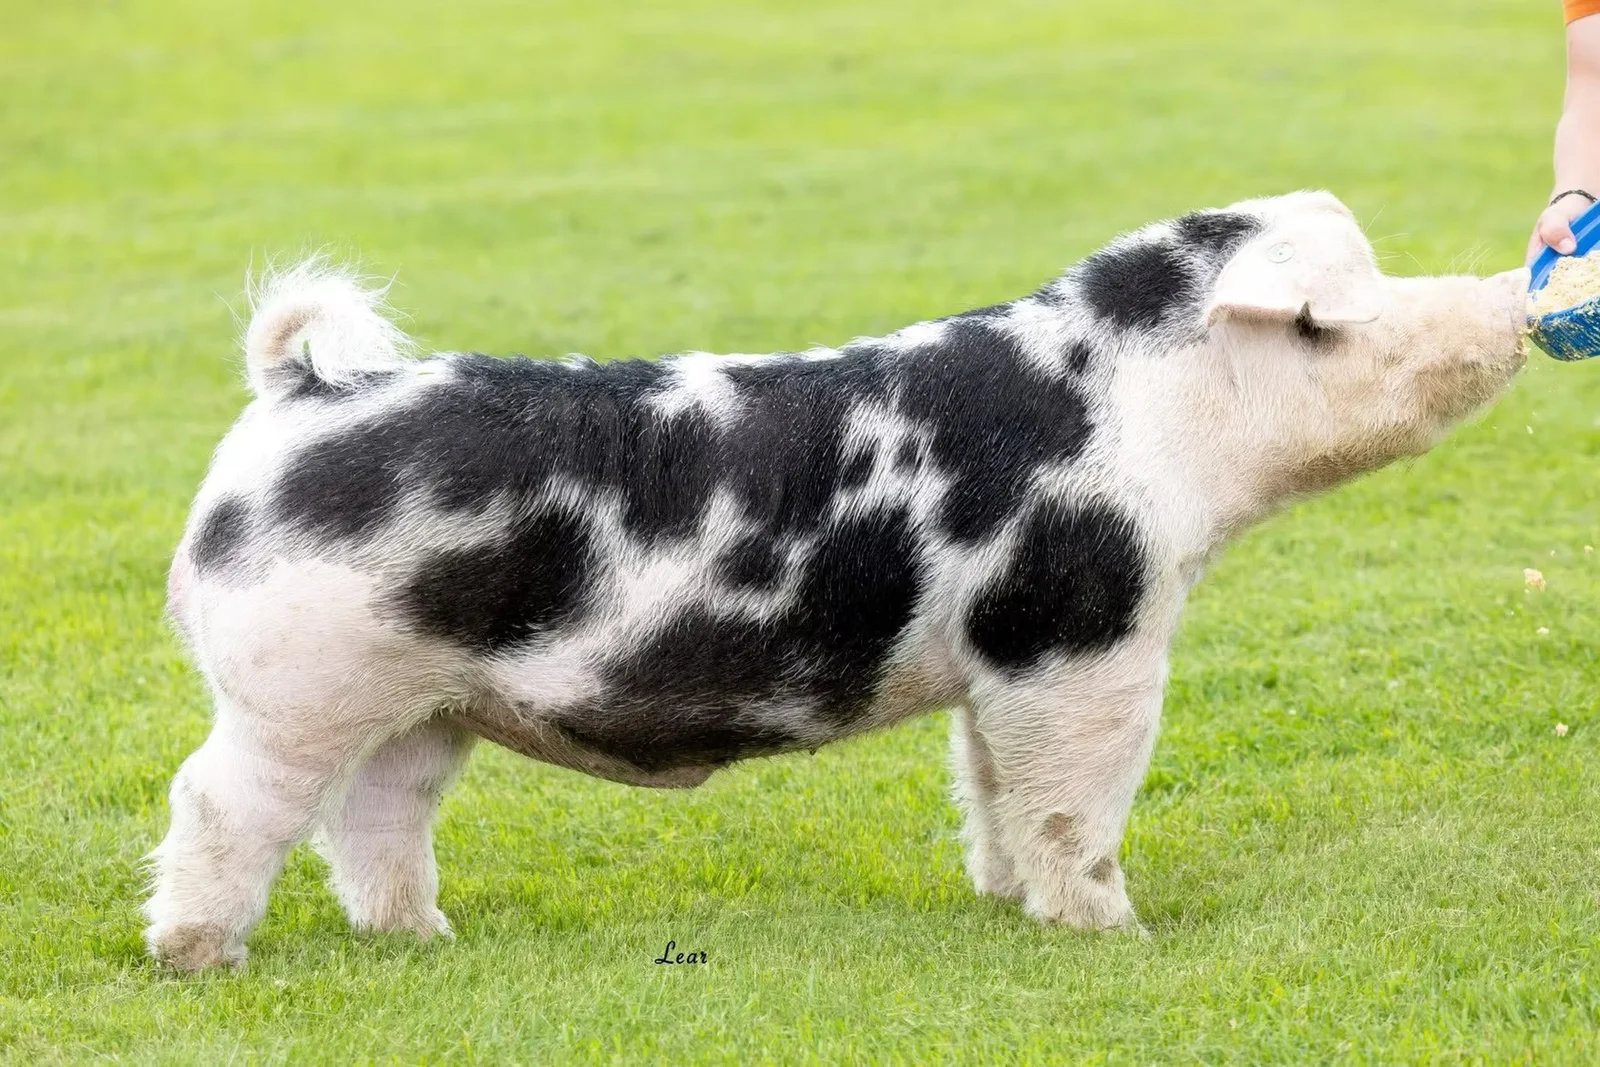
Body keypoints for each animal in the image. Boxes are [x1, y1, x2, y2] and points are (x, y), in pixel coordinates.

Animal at [146, 191, 1530, 970]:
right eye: (1343, 309)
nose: (1508, 307)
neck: (1147, 420)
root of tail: (298, 398)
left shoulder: (999, 665)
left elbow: (993, 784)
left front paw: (1003, 899)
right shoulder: (1082, 631)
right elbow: (1078, 798)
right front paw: (1111, 933)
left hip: (423, 698)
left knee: (376, 814)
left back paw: (425, 939)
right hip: (295, 678)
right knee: (219, 798)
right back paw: (197, 956)